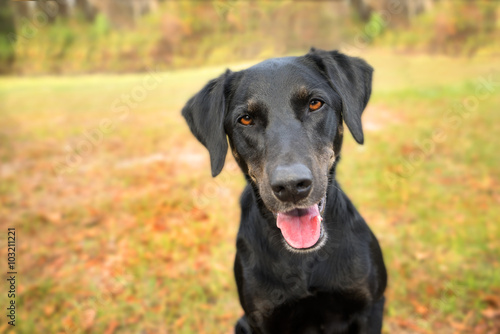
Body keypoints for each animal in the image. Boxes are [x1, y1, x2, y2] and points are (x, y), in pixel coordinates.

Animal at [182, 48, 388, 332]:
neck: (305, 260)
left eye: (315, 104)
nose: (291, 186)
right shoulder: (262, 320)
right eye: (246, 119)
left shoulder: (370, 306)